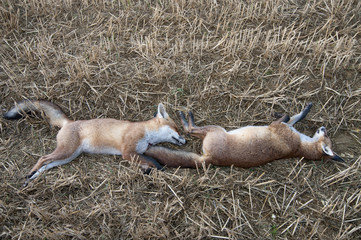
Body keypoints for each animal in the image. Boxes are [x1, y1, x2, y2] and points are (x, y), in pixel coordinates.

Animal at [3, 99, 186, 186]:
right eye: (177, 128)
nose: (184, 141)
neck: (146, 133)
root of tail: (69, 122)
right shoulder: (127, 152)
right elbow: (153, 161)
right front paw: (160, 169)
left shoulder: (136, 153)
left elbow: (147, 162)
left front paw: (148, 171)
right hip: (66, 151)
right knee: (42, 158)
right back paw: (29, 175)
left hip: (67, 157)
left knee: (46, 165)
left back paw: (31, 178)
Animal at [143, 103, 344, 169]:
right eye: (326, 134)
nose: (323, 127)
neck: (299, 147)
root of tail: (211, 159)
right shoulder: (286, 127)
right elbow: (294, 116)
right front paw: (307, 108)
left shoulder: (278, 127)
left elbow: (287, 116)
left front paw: (281, 112)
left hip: (215, 130)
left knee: (189, 129)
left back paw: (186, 116)